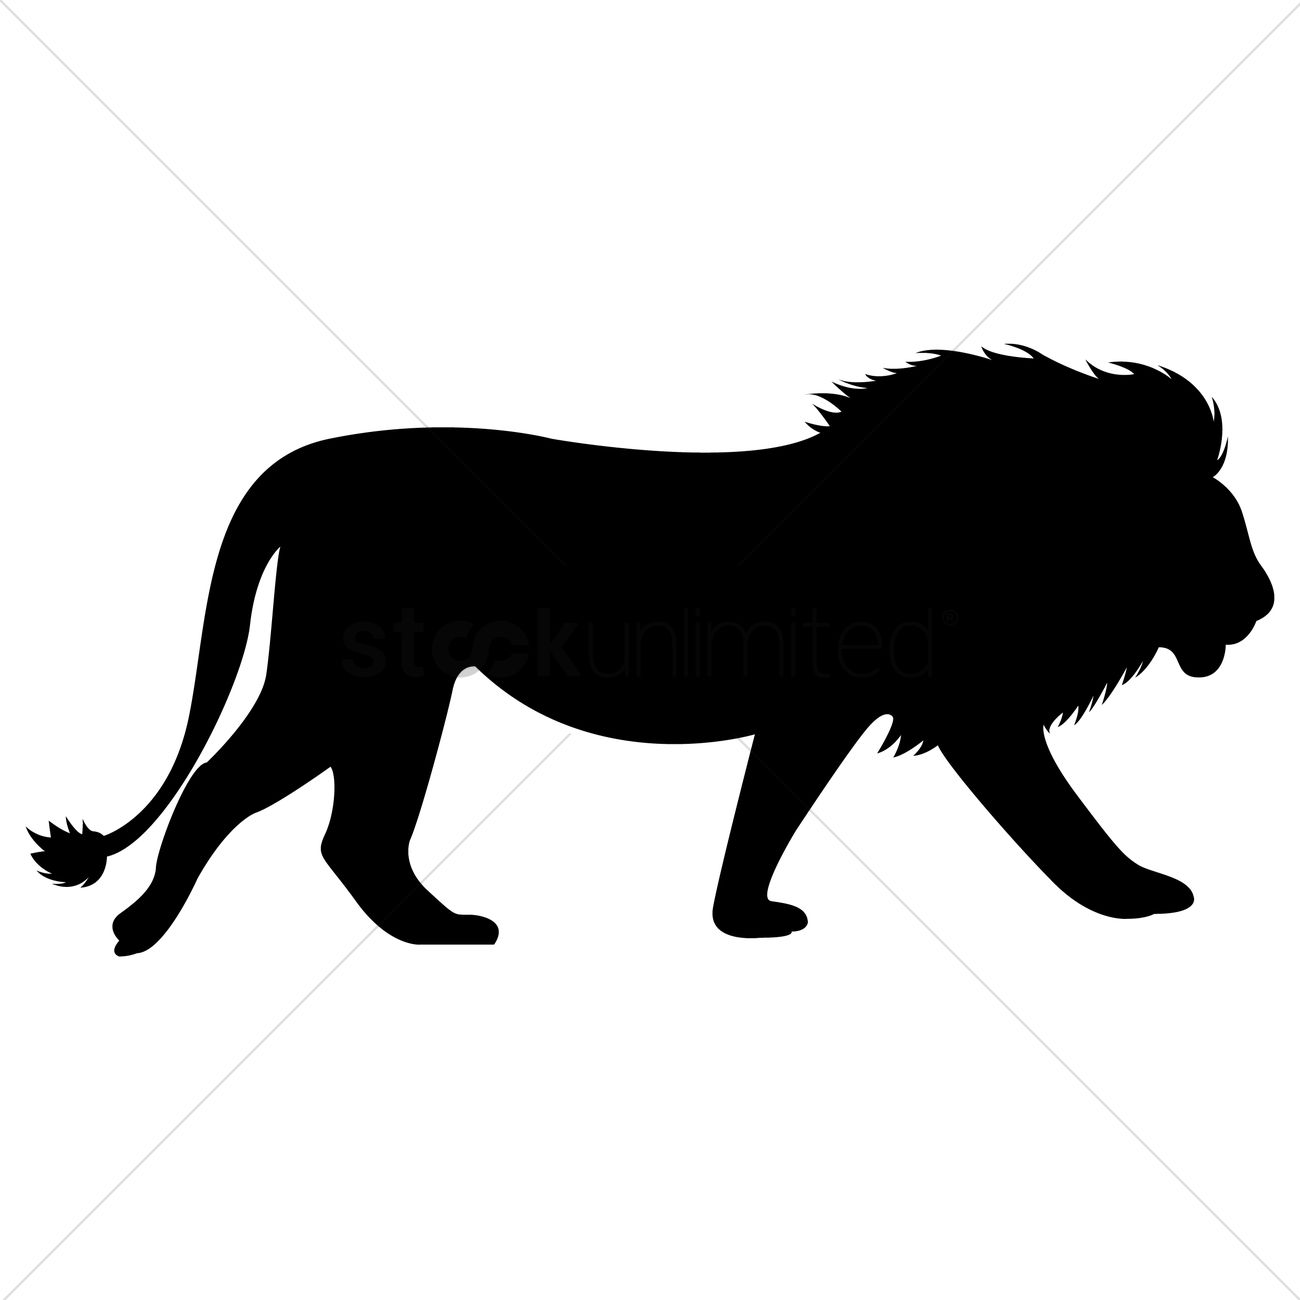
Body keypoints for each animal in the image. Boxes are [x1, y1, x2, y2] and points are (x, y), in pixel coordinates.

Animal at [29, 347, 1273, 954]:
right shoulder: (954, 706)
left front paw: (743, 918)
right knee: (224, 791)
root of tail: (314, 463)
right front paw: (1134, 895)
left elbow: (767, 810)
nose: (1265, 601)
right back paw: (139, 931)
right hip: (343, 678)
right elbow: (1050, 813)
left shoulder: (837, 707)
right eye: (1207, 532)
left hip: (401, 693)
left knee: (356, 837)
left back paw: (438, 932)